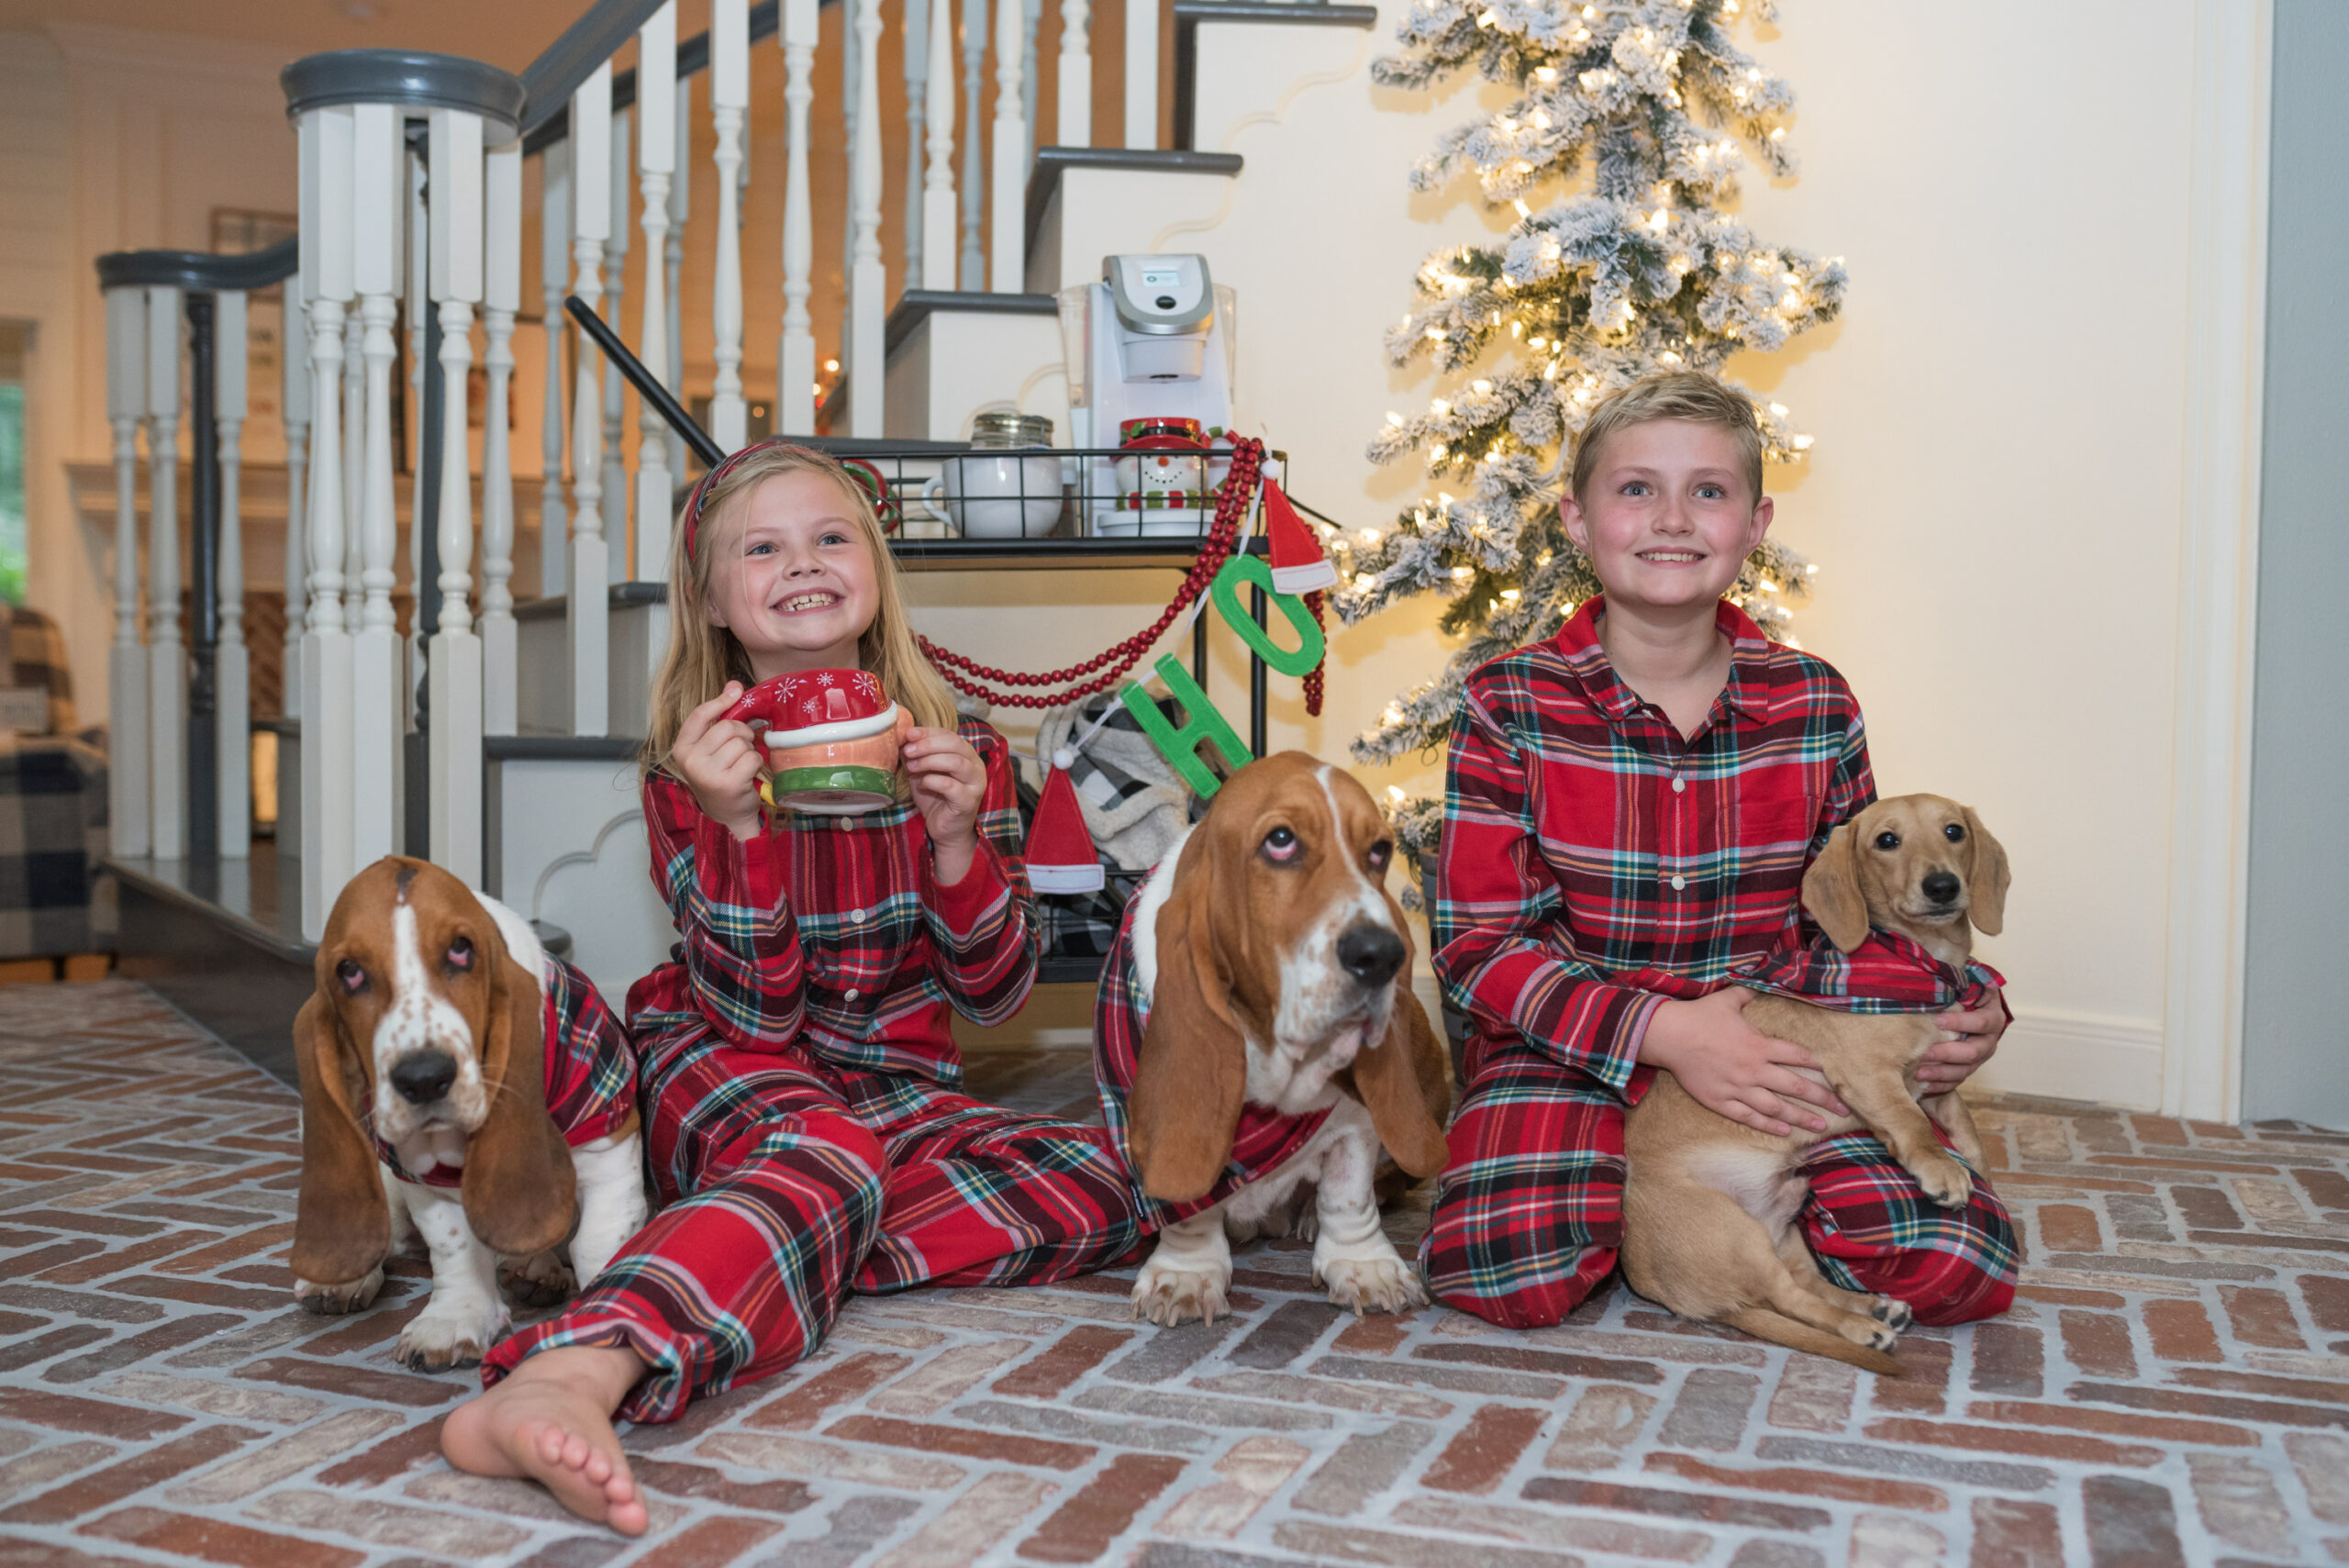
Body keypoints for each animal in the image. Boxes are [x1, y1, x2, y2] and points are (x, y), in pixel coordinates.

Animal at [294, 859, 648, 1371]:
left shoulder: (608, 1146)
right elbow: (456, 1246)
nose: (424, 1077)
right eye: (350, 972)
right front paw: (456, 1319)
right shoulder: (422, 1178)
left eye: (461, 950)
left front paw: (609, 1304)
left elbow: (600, 1242)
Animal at [1099, 751, 1446, 1323]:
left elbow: (1349, 1194)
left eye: (1379, 850)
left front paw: (1363, 1266)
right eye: (1280, 841)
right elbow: (1190, 1207)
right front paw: (1186, 1273)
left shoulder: (1356, 1125)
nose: (1383, 955)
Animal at [1625, 797, 2010, 1371]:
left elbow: (1964, 1127)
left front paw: (1975, 1168)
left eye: (1953, 831)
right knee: (1790, 1299)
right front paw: (1942, 1170)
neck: (1921, 966)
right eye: (1886, 841)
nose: (1942, 886)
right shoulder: (1870, 1076)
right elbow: (1912, 1124)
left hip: (1785, 1228)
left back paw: (1872, 1306)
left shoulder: (1939, 1081)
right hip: (1734, 1235)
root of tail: (1645, 1277)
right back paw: (1862, 1329)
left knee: (1807, 1284)